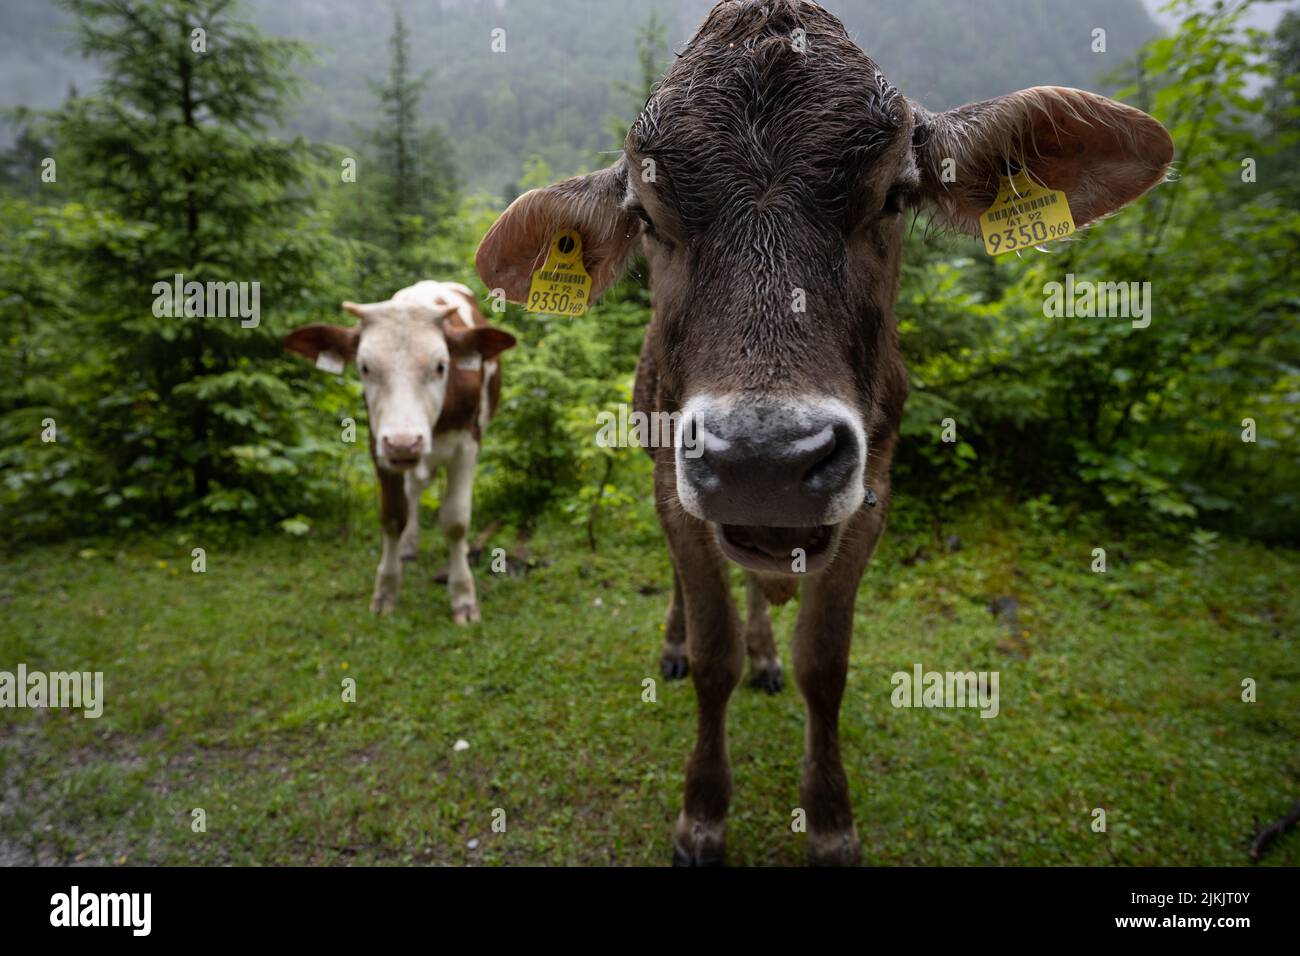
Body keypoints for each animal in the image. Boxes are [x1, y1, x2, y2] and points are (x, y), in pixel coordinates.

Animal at [287, 280, 514, 624]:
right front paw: (386, 591)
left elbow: (455, 521)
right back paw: (408, 543)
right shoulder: (379, 444)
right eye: (365, 367)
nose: (404, 443)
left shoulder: (467, 444)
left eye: (441, 366)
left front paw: (463, 596)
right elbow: (393, 516)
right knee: (414, 489)